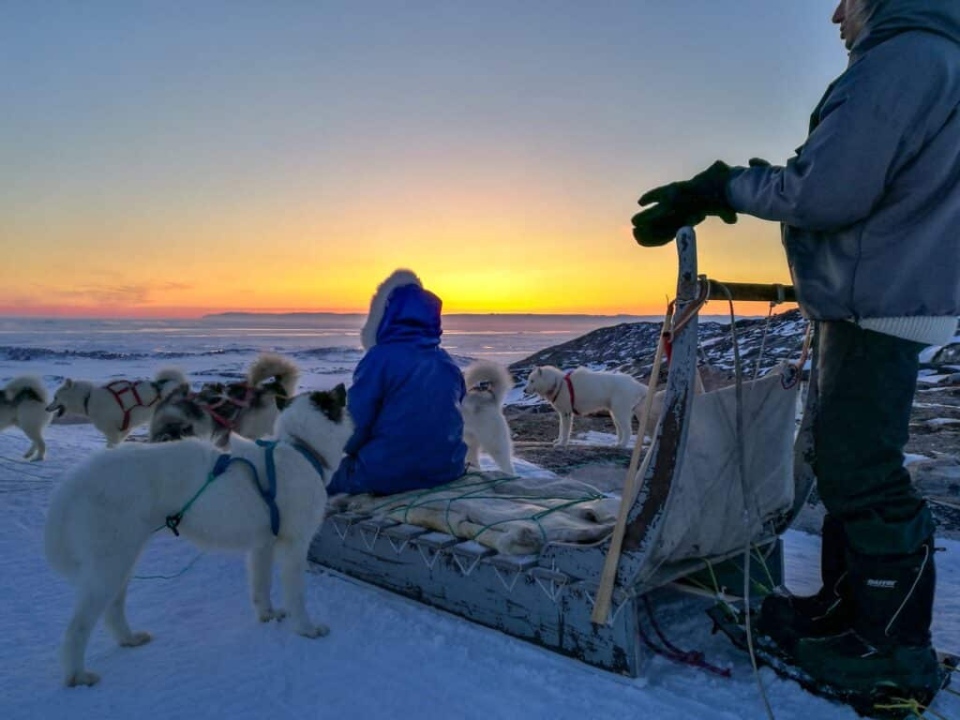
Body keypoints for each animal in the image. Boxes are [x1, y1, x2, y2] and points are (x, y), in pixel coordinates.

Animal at [45, 368, 188, 448]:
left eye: (55, 397)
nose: (46, 408)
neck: (88, 398)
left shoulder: (112, 432)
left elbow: (110, 445)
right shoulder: (123, 429)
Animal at [45, 382, 352, 688]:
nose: (342, 386)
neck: (301, 448)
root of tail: (79, 477)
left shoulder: (263, 545)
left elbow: (261, 588)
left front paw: (268, 615)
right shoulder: (294, 546)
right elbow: (297, 596)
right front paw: (306, 629)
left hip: (122, 561)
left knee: (113, 608)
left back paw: (128, 639)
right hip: (110, 566)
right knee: (77, 627)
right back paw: (77, 674)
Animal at [520, 368, 648, 448]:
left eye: (532, 380)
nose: (524, 390)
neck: (558, 384)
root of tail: (635, 384)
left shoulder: (566, 412)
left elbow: (565, 429)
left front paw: (561, 444)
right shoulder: (562, 413)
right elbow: (561, 428)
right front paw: (558, 440)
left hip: (620, 410)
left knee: (628, 430)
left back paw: (622, 445)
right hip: (615, 412)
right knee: (620, 429)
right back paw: (617, 444)